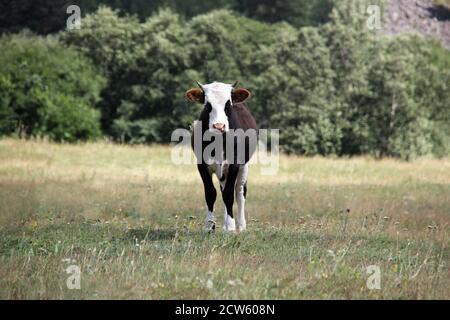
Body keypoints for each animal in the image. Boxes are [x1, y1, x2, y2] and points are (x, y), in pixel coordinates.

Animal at [185, 82, 256, 232]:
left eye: (228, 104)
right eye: (207, 105)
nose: (219, 126)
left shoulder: (234, 164)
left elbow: (229, 194)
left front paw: (231, 226)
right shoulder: (201, 165)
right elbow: (211, 193)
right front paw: (209, 225)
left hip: (244, 167)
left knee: (240, 192)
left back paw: (241, 226)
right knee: (223, 189)